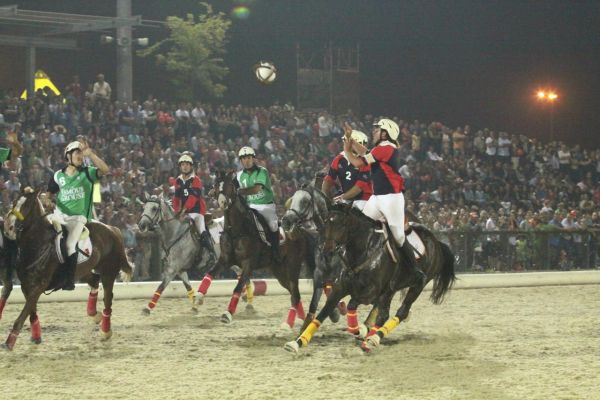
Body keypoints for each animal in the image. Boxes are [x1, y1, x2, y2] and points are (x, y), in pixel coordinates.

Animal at [2, 191, 134, 350]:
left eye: (26, 205)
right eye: (15, 202)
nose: (8, 226)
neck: (38, 243)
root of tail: (113, 229)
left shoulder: (39, 285)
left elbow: (24, 313)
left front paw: (9, 342)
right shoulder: (26, 285)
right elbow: (31, 310)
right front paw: (36, 336)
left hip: (108, 271)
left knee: (107, 298)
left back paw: (105, 330)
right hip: (83, 271)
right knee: (95, 281)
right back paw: (94, 314)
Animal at [197, 169, 318, 328]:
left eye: (230, 185)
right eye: (216, 185)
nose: (223, 202)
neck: (237, 230)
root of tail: (301, 231)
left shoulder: (248, 264)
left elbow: (238, 286)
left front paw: (227, 314)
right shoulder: (224, 259)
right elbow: (209, 274)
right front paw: (198, 297)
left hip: (292, 266)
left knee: (295, 293)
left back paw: (290, 322)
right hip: (279, 271)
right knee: (293, 292)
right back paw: (301, 318)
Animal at [286, 205, 454, 352]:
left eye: (342, 224)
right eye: (325, 222)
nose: (326, 249)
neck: (363, 251)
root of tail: (437, 242)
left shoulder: (370, 291)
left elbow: (352, 304)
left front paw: (358, 329)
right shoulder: (339, 289)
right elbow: (323, 313)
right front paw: (297, 342)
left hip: (418, 284)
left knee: (400, 312)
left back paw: (374, 337)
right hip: (391, 289)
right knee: (383, 313)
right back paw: (370, 334)